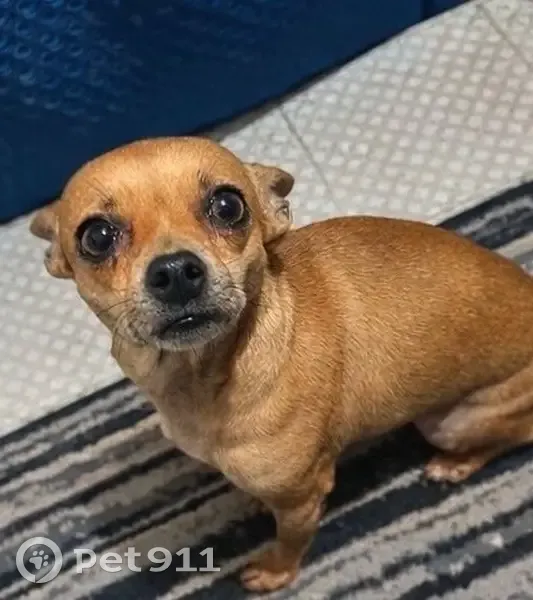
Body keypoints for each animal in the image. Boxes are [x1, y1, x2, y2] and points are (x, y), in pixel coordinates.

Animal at [30, 137, 533, 592]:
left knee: (507, 438)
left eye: (228, 206)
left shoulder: (302, 500)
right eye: (96, 236)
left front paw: (274, 574)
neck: (203, 377)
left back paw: (454, 465)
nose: (174, 271)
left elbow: (291, 542)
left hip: (449, 422)